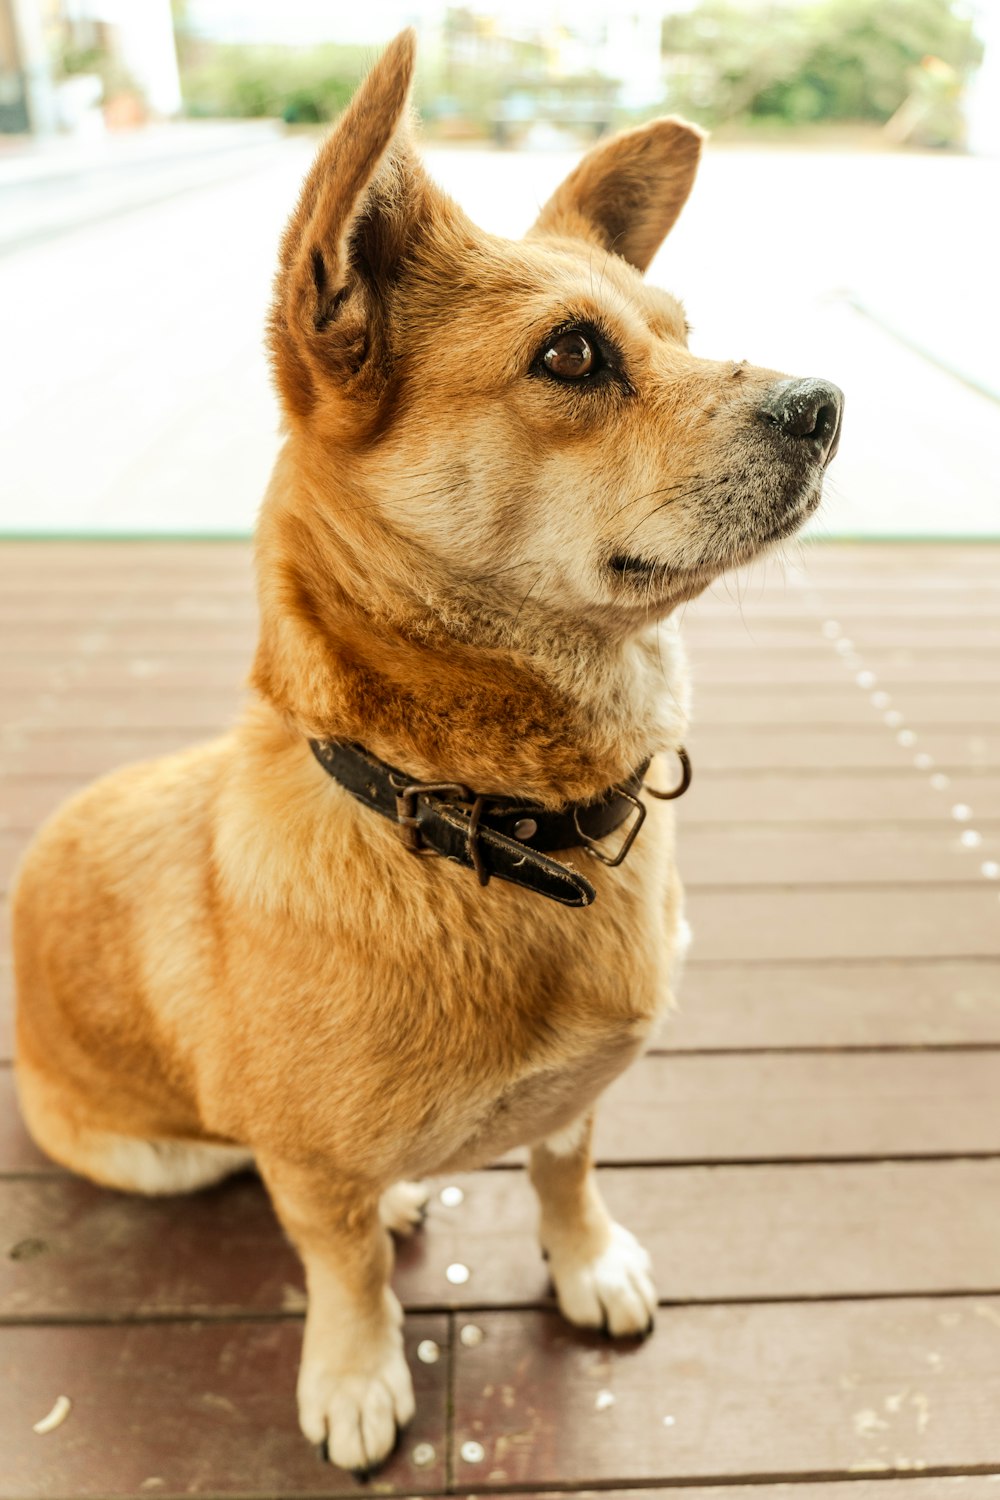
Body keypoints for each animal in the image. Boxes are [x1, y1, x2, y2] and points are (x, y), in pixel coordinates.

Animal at [13, 26, 845, 1476]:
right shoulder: (303, 1173)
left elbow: (567, 1172)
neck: (486, 822)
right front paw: (355, 1375)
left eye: (681, 330)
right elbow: (338, 1267)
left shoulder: (577, 1104)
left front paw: (586, 1262)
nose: (830, 404)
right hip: (154, 1149)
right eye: (572, 355)